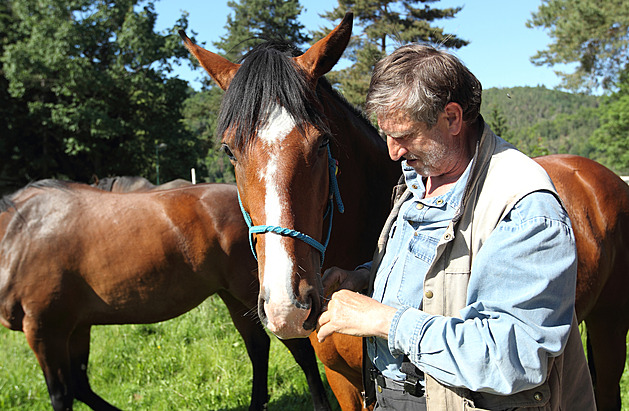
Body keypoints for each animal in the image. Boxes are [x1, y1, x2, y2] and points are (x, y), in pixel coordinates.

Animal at [0, 182, 332, 411]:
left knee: (299, 350)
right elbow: (80, 385)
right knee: (258, 349)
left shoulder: (45, 330)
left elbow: (62, 393)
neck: (19, 236)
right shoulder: (76, 328)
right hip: (233, 297)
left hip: (261, 297)